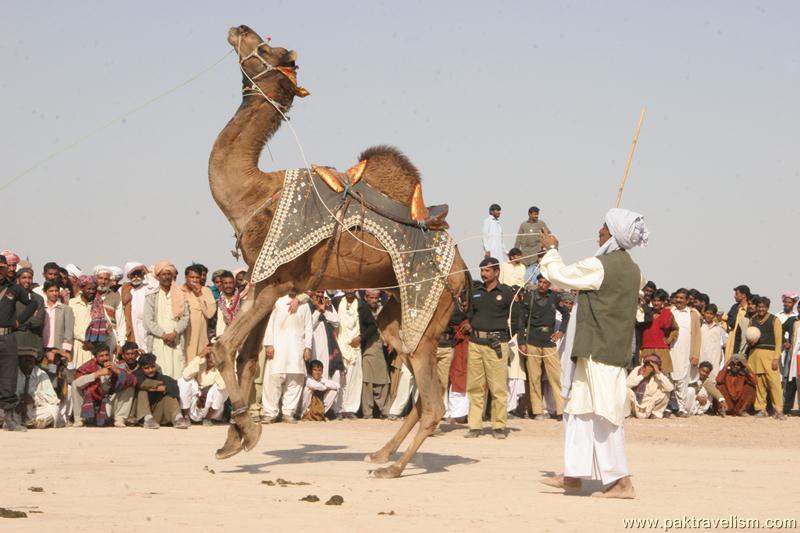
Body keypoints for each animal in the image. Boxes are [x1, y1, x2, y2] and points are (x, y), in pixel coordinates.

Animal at [206, 23, 468, 478]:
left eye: (265, 48)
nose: (238, 28)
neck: (254, 193)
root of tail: (464, 270)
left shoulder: (277, 281)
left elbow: (224, 347)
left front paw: (247, 432)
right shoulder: (261, 279)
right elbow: (247, 357)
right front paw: (234, 439)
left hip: (427, 307)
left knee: (433, 403)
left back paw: (392, 469)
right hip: (401, 316)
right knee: (419, 388)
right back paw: (379, 454)